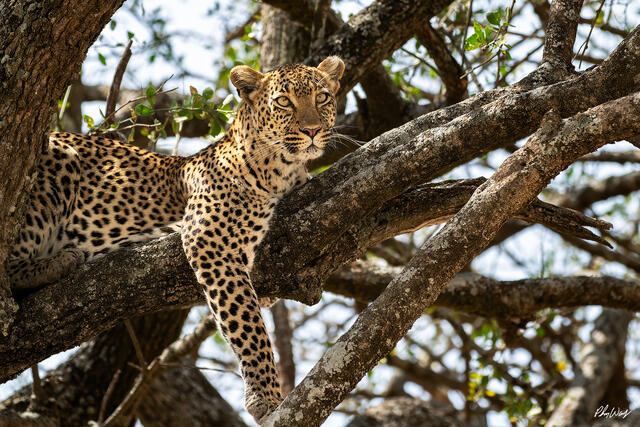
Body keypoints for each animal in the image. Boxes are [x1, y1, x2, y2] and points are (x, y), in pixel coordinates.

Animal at [8, 56, 345, 423]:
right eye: (284, 102)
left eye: (322, 98)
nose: (312, 130)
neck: (282, 172)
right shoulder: (210, 240)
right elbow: (247, 324)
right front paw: (266, 397)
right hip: (58, 159)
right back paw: (60, 262)